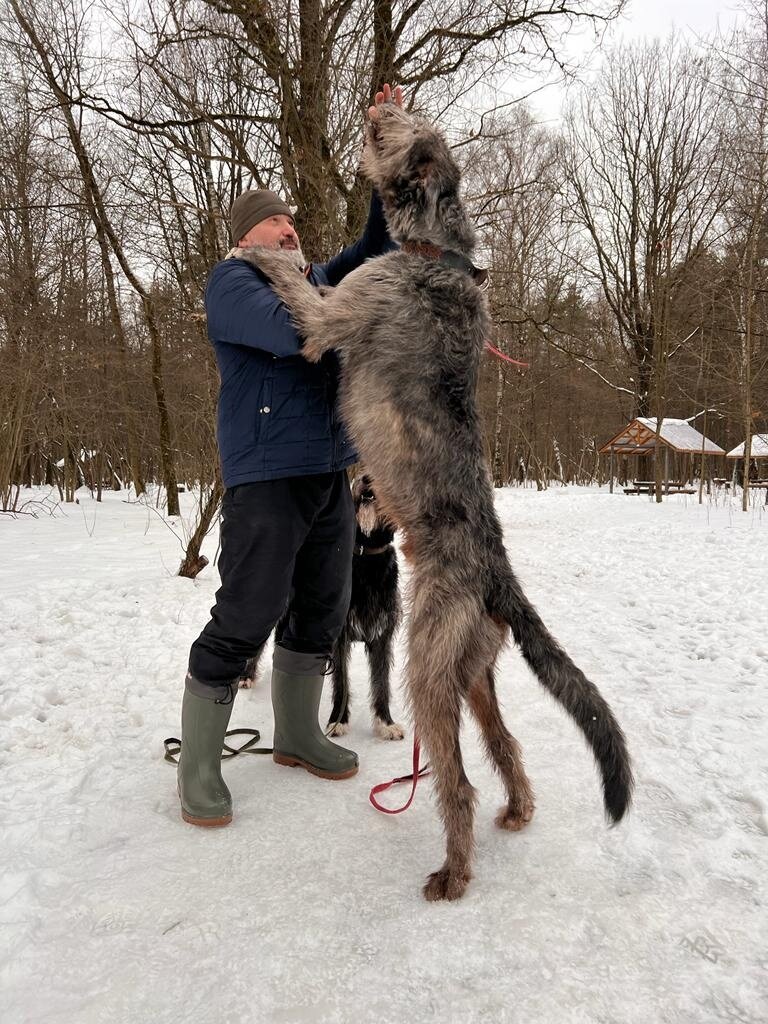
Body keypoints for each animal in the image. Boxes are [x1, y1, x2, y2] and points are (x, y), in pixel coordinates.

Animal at [243, 475, 405, 741]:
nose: (366, 479)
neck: (365, 558)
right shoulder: (338, 636)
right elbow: (341, 681)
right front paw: (338, 721)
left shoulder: (382, 636)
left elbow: (382, 683)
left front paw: (385, 723)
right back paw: (246, 677)